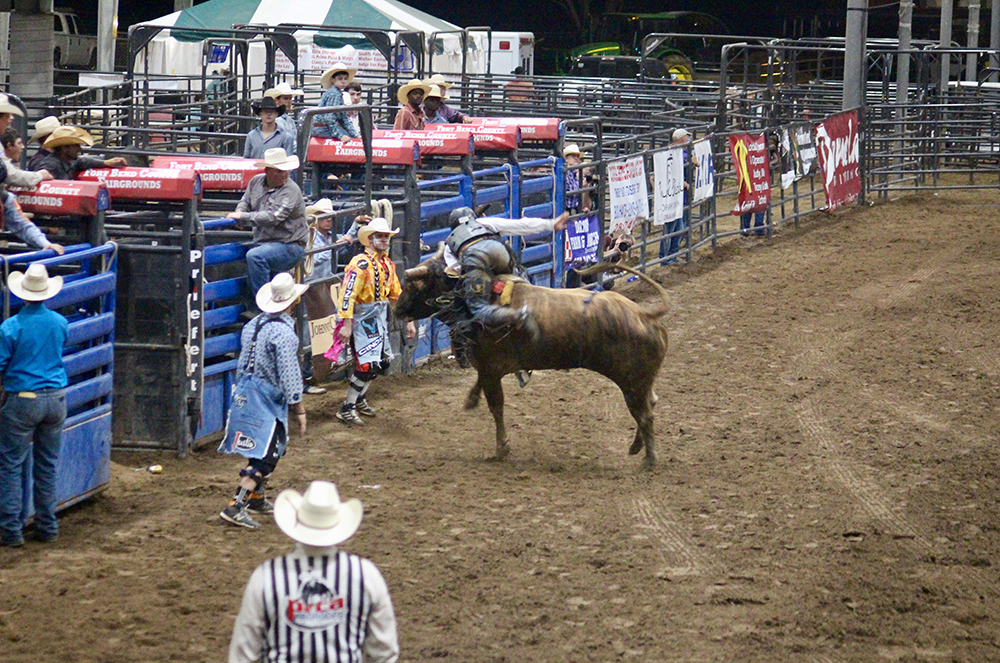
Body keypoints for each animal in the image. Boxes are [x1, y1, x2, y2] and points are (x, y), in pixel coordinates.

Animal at [394, 252, 668, 470]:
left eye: (414, 285)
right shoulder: (488, 369)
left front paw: (501, 449)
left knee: (644, 415)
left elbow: (496, 406)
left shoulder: (490, 368)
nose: (396, 309)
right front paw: (472, 400)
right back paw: (636, 447)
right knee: (651, 402)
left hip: (631, 382)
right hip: (641, 382)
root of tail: (644, 313)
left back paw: (649, 459)